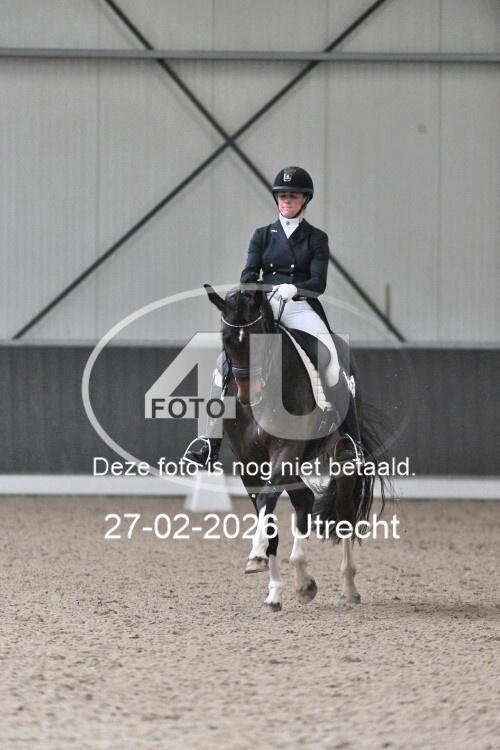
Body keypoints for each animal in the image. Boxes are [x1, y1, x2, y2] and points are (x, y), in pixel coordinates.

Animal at [204, 282, 389, 612]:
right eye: (225, 340)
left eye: (260, 338)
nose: (246, 396)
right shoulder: (249, 462)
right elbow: (267, 516)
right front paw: (273, 591)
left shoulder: (285, 451)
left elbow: (268, 499)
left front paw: (255, 556)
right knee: (304, 499)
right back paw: (302, 582)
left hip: (341, 460)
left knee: (344, 515)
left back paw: (348, 587)